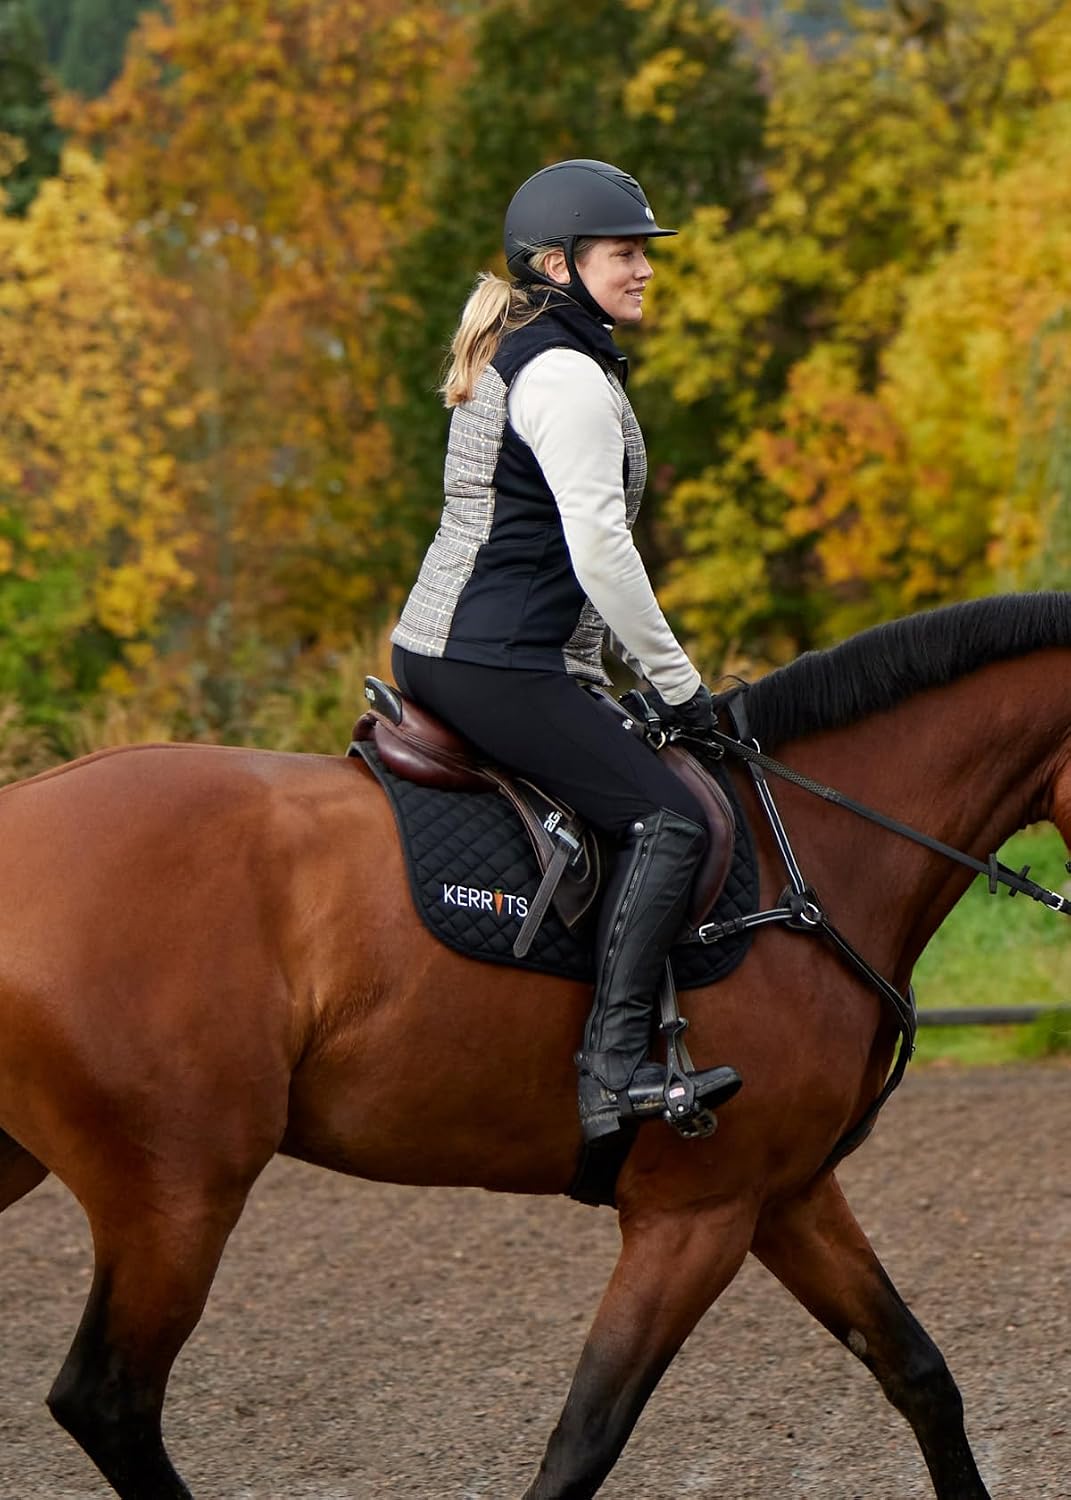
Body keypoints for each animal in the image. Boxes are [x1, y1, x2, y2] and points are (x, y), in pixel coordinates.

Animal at [0, 591, 1068, 1500]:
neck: (806, 858)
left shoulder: (786, 1195)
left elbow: (917, 1372)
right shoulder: (696, 1215)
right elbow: (582, 1442)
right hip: (178, 1194)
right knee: (107, 1400)